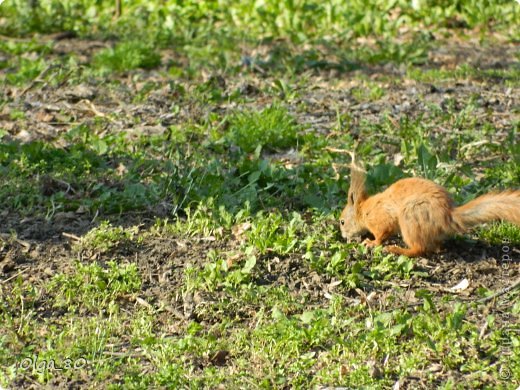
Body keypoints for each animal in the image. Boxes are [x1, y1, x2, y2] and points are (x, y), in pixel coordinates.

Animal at [342, 161, 520, 256]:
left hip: (411, 217)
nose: (344, 237)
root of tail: (447, 216)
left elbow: (382, 234)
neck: (364, 210)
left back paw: (398, 250)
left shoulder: (380, 219)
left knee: (419, 249)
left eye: (342, 222)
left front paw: (371, 242)